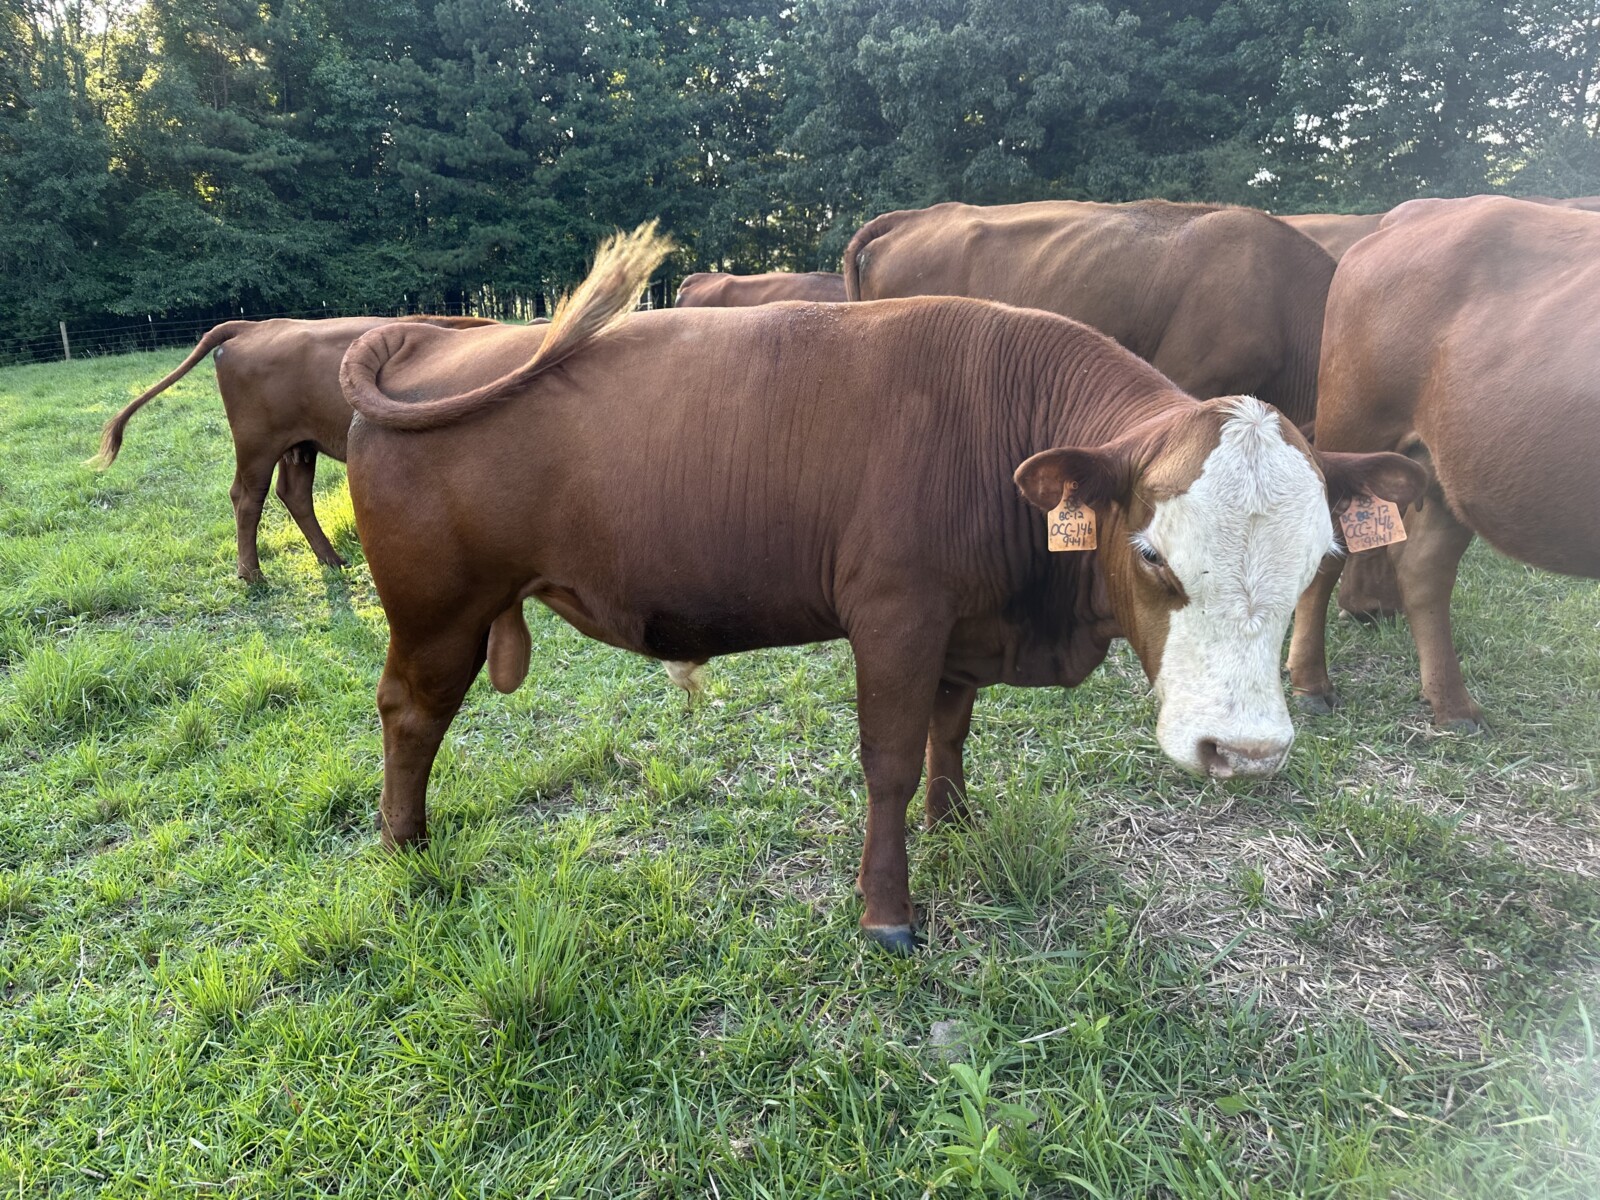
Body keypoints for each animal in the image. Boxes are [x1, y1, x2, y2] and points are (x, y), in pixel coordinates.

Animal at [90, 314, 499, 582]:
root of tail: (257, 326)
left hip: (298, 445)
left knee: (292, 493)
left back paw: (331, 559)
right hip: (258, 444)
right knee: (248, 498)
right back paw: (253, 574)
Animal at [339, 224, 1421, 954]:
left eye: (1319, 560)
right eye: (1152, 554)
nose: (1246, 751)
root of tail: (438, 337)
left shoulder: (962, 626)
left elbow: (952, 729)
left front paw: (956, 817)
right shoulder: (897, 617)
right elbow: (890, 761)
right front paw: (888, 912)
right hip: (436, 612)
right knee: (409, 714)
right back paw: (405, 846)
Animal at [1287, 195, 1600, 731]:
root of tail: (1419, 209)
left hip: (1443, 468)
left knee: (1423, 570)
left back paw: (1452, 706)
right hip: (1355, 426)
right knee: (1330, 554)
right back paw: (1312, 683)